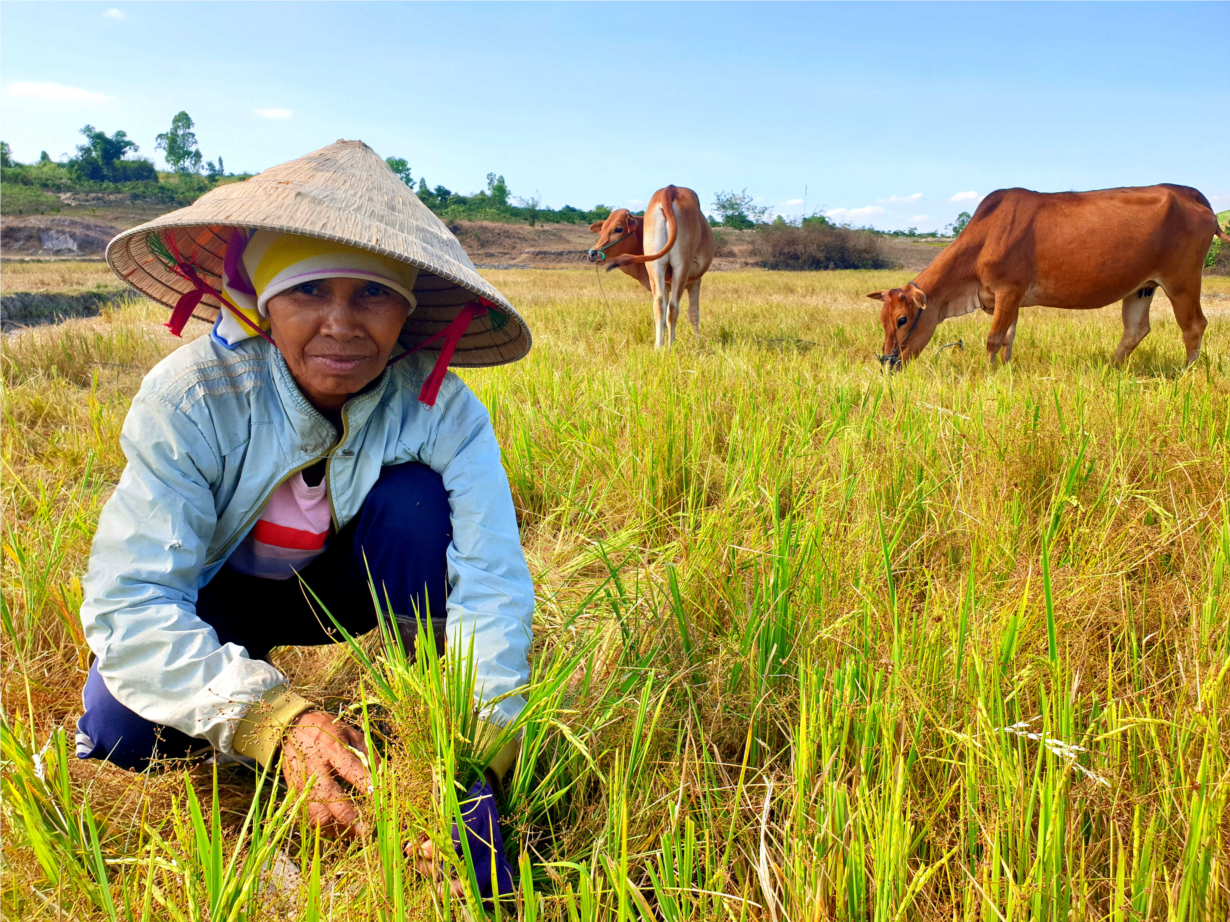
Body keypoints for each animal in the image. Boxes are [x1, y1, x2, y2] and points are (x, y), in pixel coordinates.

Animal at [590, 183, 718, 346]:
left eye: (618, 229)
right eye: (603, 229)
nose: (593, 253)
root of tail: (670, 189)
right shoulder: (694, 281)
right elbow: (693, 312)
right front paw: (697, 342)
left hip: (655, 266)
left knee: (659, 305)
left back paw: (659, 346)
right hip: (681, 266)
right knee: (673, 307)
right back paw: (670, 345)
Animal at [870, 185, 1225, 371]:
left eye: (902, 319)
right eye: (882, 320)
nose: (888, 362)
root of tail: (1190, 193)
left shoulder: (1008, 291)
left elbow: (993, 339)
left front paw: (987, 374)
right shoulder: (1008, 300)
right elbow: (1008, 339)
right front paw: (1005, 370)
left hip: (1181, 280)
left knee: (1193, 325)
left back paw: (1187, 373)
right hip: (1142, 287)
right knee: (1136, 329)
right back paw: (1110, 369)